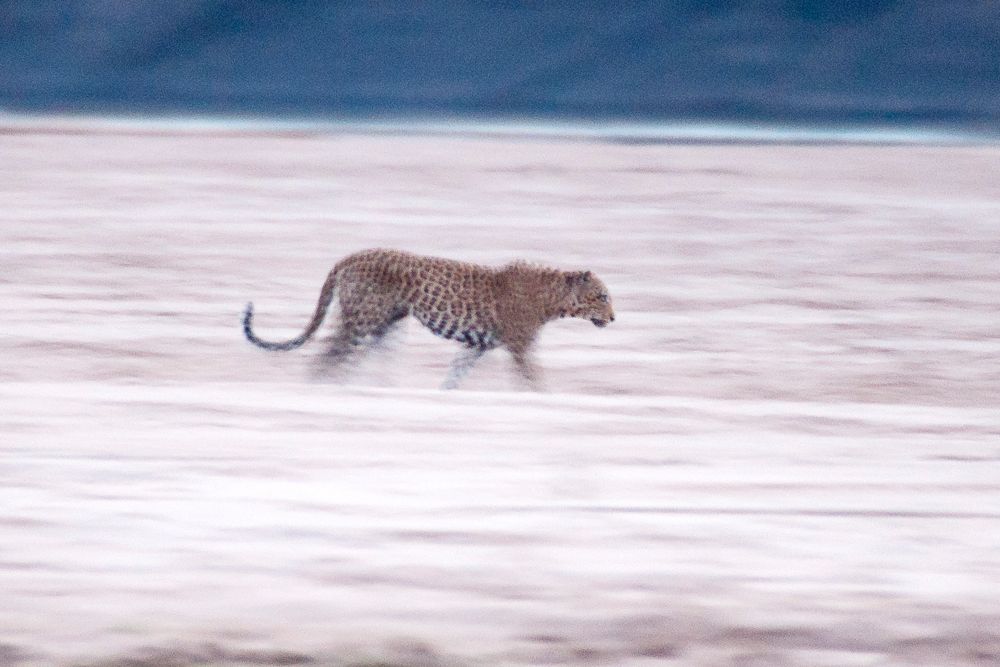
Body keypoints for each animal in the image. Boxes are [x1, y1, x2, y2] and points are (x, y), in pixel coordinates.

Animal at [243, 248, 616, 388]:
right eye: (602, 296)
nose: (613, 318)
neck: (554, 300)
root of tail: (351, 256)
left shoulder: (476, 346)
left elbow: (455, 375)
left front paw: (445, 393)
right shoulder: (520, 346)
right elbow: (533, 379)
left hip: (385, 327)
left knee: (356, 357)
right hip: (362, 320)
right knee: (330, 355)